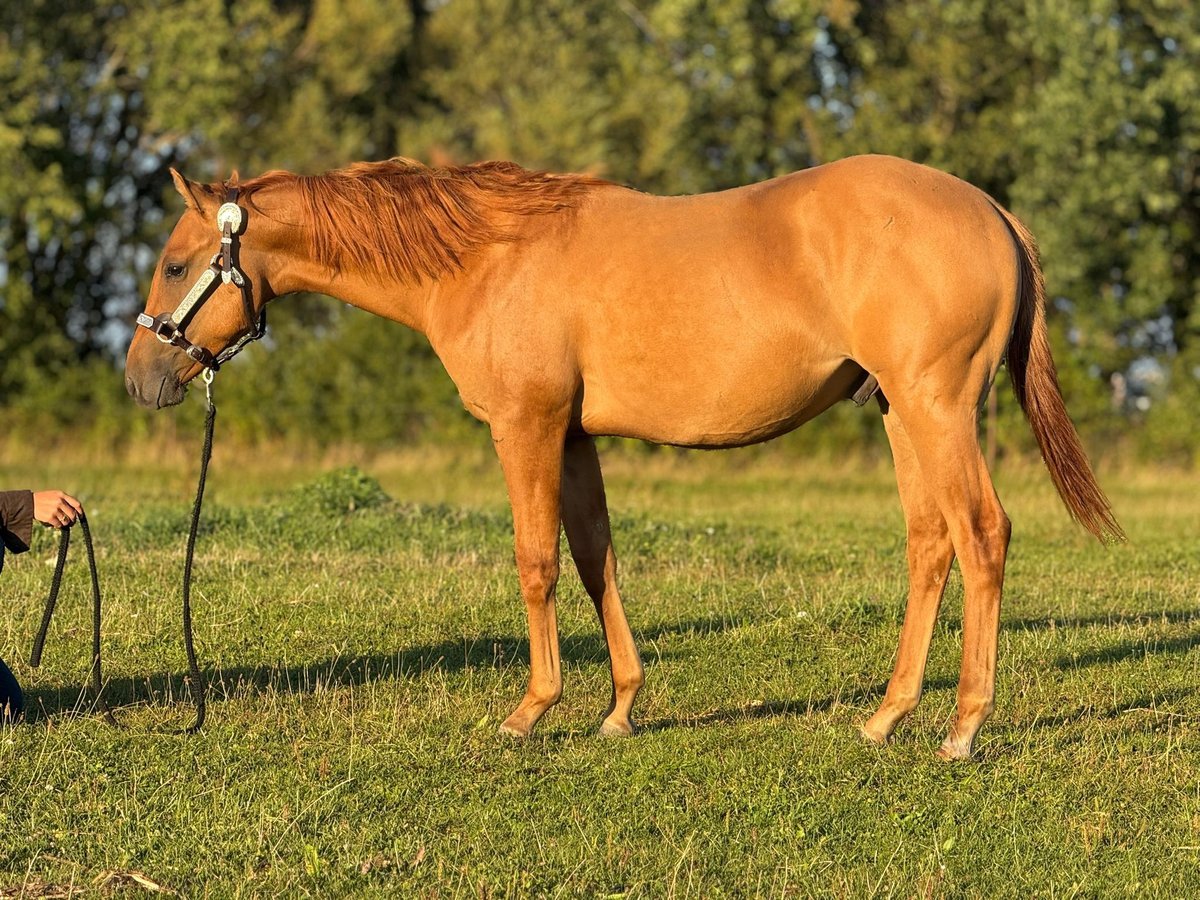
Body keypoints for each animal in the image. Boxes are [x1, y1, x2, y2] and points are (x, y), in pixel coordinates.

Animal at [125, 154, 1122, 759]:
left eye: (173, 265)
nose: (141, 377)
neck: (487, 257)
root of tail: (990, 210)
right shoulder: (571, 438)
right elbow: (595, 559)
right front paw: (619, 707)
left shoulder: (526, 427)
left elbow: (534, 562)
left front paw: (531, 712)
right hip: (900, 415)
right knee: (930, 543)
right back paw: (885, 716)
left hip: (937, 407)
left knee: (983, 535)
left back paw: (962, 728)